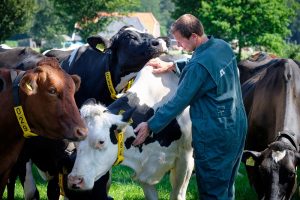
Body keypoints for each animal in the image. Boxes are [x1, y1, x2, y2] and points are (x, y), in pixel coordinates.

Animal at [67, 65, 195, 200]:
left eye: (101, 141)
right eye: (76, 142)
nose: (74, 180)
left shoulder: (185, 160)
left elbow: (177, 195)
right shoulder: (144, 172)